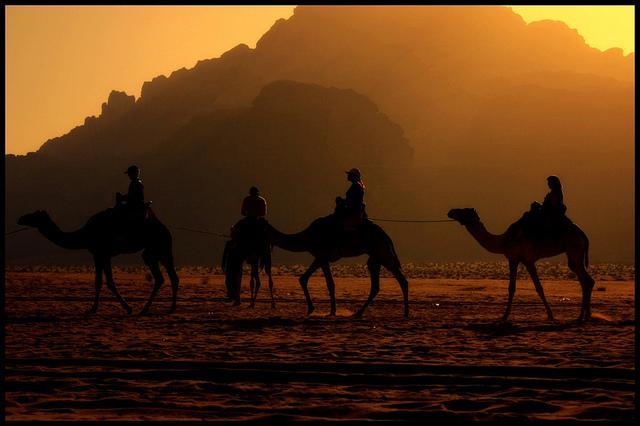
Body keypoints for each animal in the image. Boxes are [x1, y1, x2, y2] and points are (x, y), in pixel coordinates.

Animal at [17, 208, 178, 314]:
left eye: (35, 215)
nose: (20, 218)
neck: (85, 234)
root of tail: (166, 230)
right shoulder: (103, 255)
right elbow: (105, 282)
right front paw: (122, 307)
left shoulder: (100, 254)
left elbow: (103, 282)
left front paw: (97, 308)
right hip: (157, 251)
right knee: (167, 276)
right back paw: (165, 307)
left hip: (158, 247)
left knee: (164, 276)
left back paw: (156, 308)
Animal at [222, 216, 408, 316]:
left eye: (256, 226)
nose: (238, 230)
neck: (306, 236)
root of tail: (386, 235)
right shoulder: (320, 257)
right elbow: (305, 279)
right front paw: (318, 308)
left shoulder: (322, 256)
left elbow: (328, 283)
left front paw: (329, 310)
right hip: (376, 256)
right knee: (381, 283)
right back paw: (362, 313)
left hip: (381, 251)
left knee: (398, 279)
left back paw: (403, 313)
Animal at [448, 208, 592, 322]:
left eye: (465, 211)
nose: (451, 212)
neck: (504, 240)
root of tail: (582, 234)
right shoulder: (515, 259)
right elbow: (513, 287)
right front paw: (505, 316)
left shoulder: (525, 260)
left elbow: (536, 287)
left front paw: (550, 315)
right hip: (574, 254)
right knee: (585, 280)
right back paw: (586, 316)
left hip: (574, 248)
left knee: (586, 280)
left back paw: (581, 316)